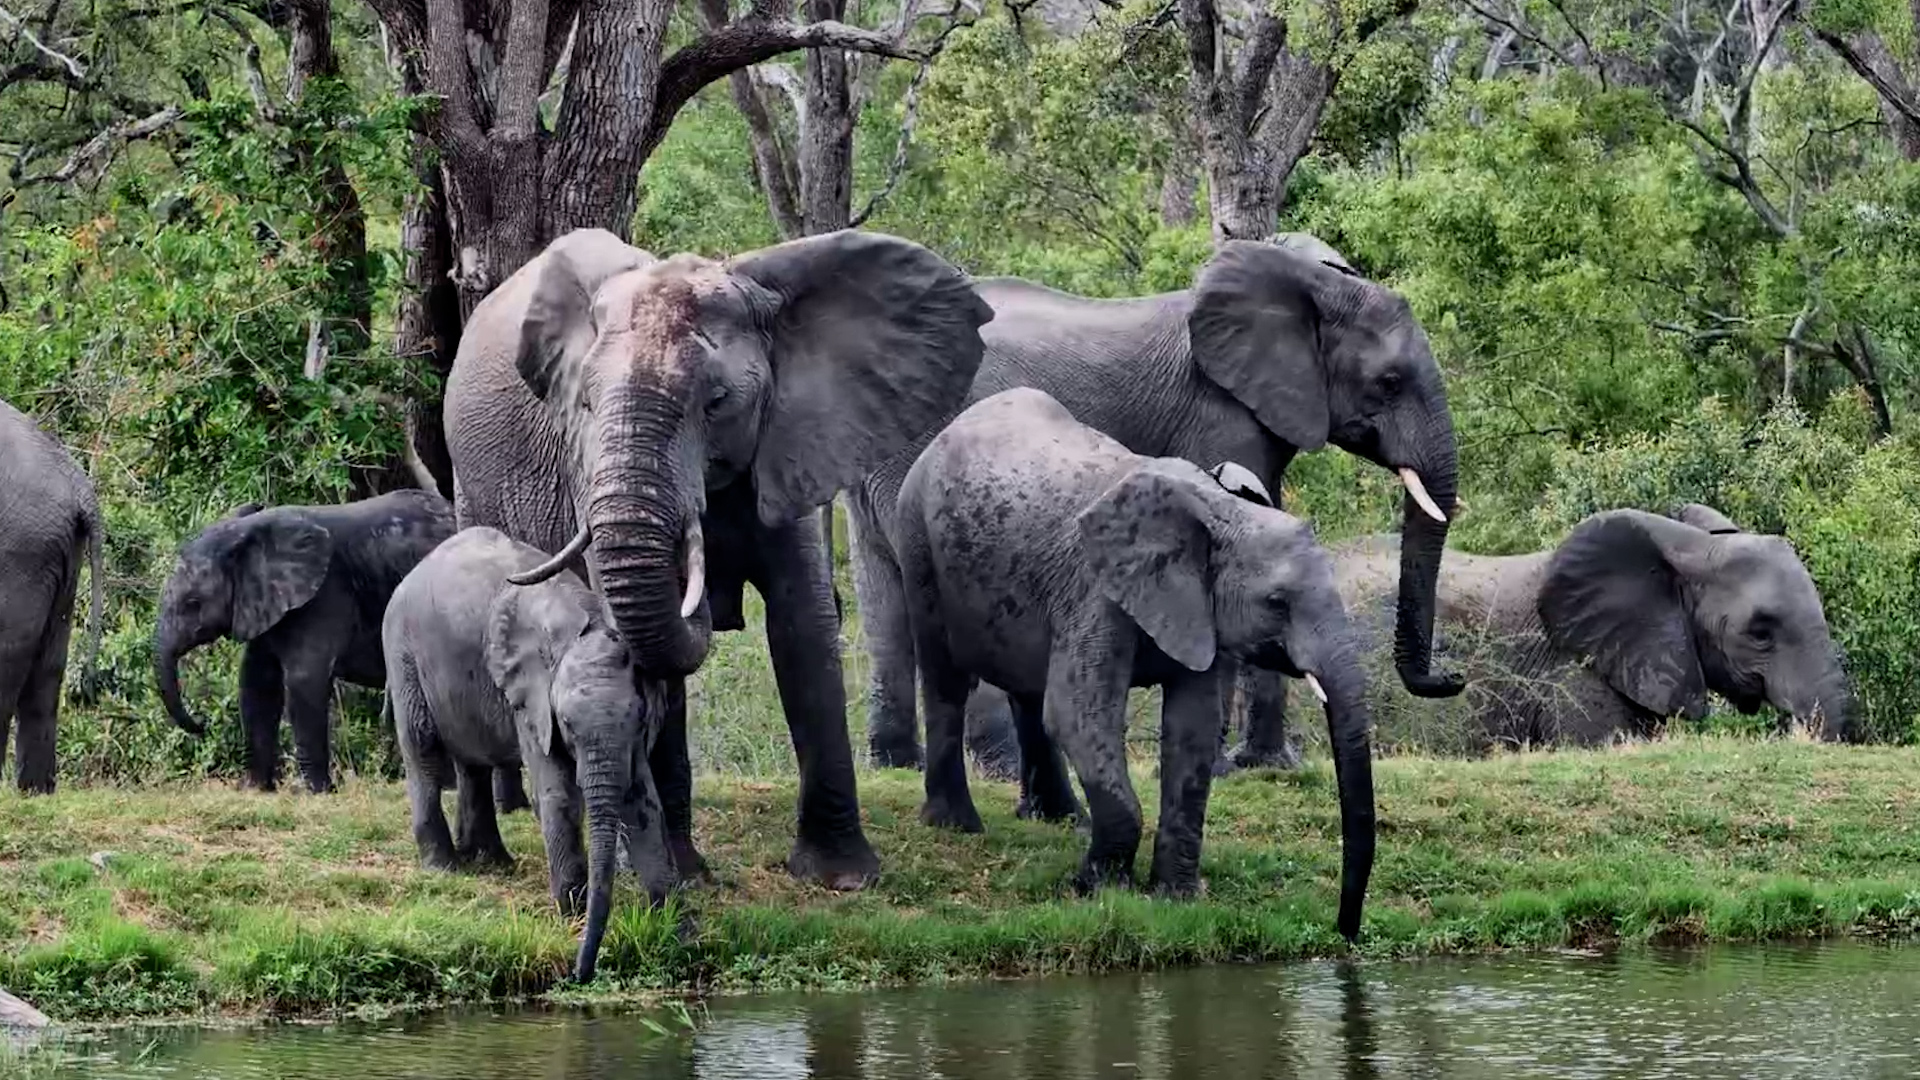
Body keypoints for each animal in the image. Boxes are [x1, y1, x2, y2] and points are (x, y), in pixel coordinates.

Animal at [151, 488, 523, 800]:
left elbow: (303, 681)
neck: (250, 532)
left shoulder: (324, 595)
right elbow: (256, 682)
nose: (202, 724)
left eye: (193, 604)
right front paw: (255, 790)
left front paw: (314, 793)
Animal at [384, 527, 672, 984]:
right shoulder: (530, 698)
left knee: (472, 764)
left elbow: (642, 798)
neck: (577, 627)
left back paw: (492, 861)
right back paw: (444, 867)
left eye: (641, 717)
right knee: (423, 749)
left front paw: (671, 919)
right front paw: (570, 915)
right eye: (567, 723)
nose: (578, 974)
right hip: (402, 651)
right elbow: (558, 795)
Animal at [443, 227, 992, 890]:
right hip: (469, 484)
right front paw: (669, 875)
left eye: (718, 401)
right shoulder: (583, 468)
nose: (702, 595)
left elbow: (804, 622)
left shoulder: (791, 440)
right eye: (586, 405)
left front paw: (842, 877)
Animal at [849, 233, 1460, 802]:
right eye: (1390, 382)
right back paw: (997, 769)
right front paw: (1228, 767)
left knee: (883, 595)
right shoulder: (1218, 413)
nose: (1449, 677)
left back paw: (896, 763)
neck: (1312, 285)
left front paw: (1264, 764)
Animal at [894, 389, 1374, 938]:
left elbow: (1192, 729)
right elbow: (1080, 716)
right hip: (918, 544)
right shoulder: (1094, 591)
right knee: (947, 683)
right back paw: (957, 825)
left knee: (1028, 694)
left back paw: (1063, 821)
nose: (1344, 928)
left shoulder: (1198, 609)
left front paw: (1177, 899)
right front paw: (1098, 890)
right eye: (1277, 603)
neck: (1220, 510)